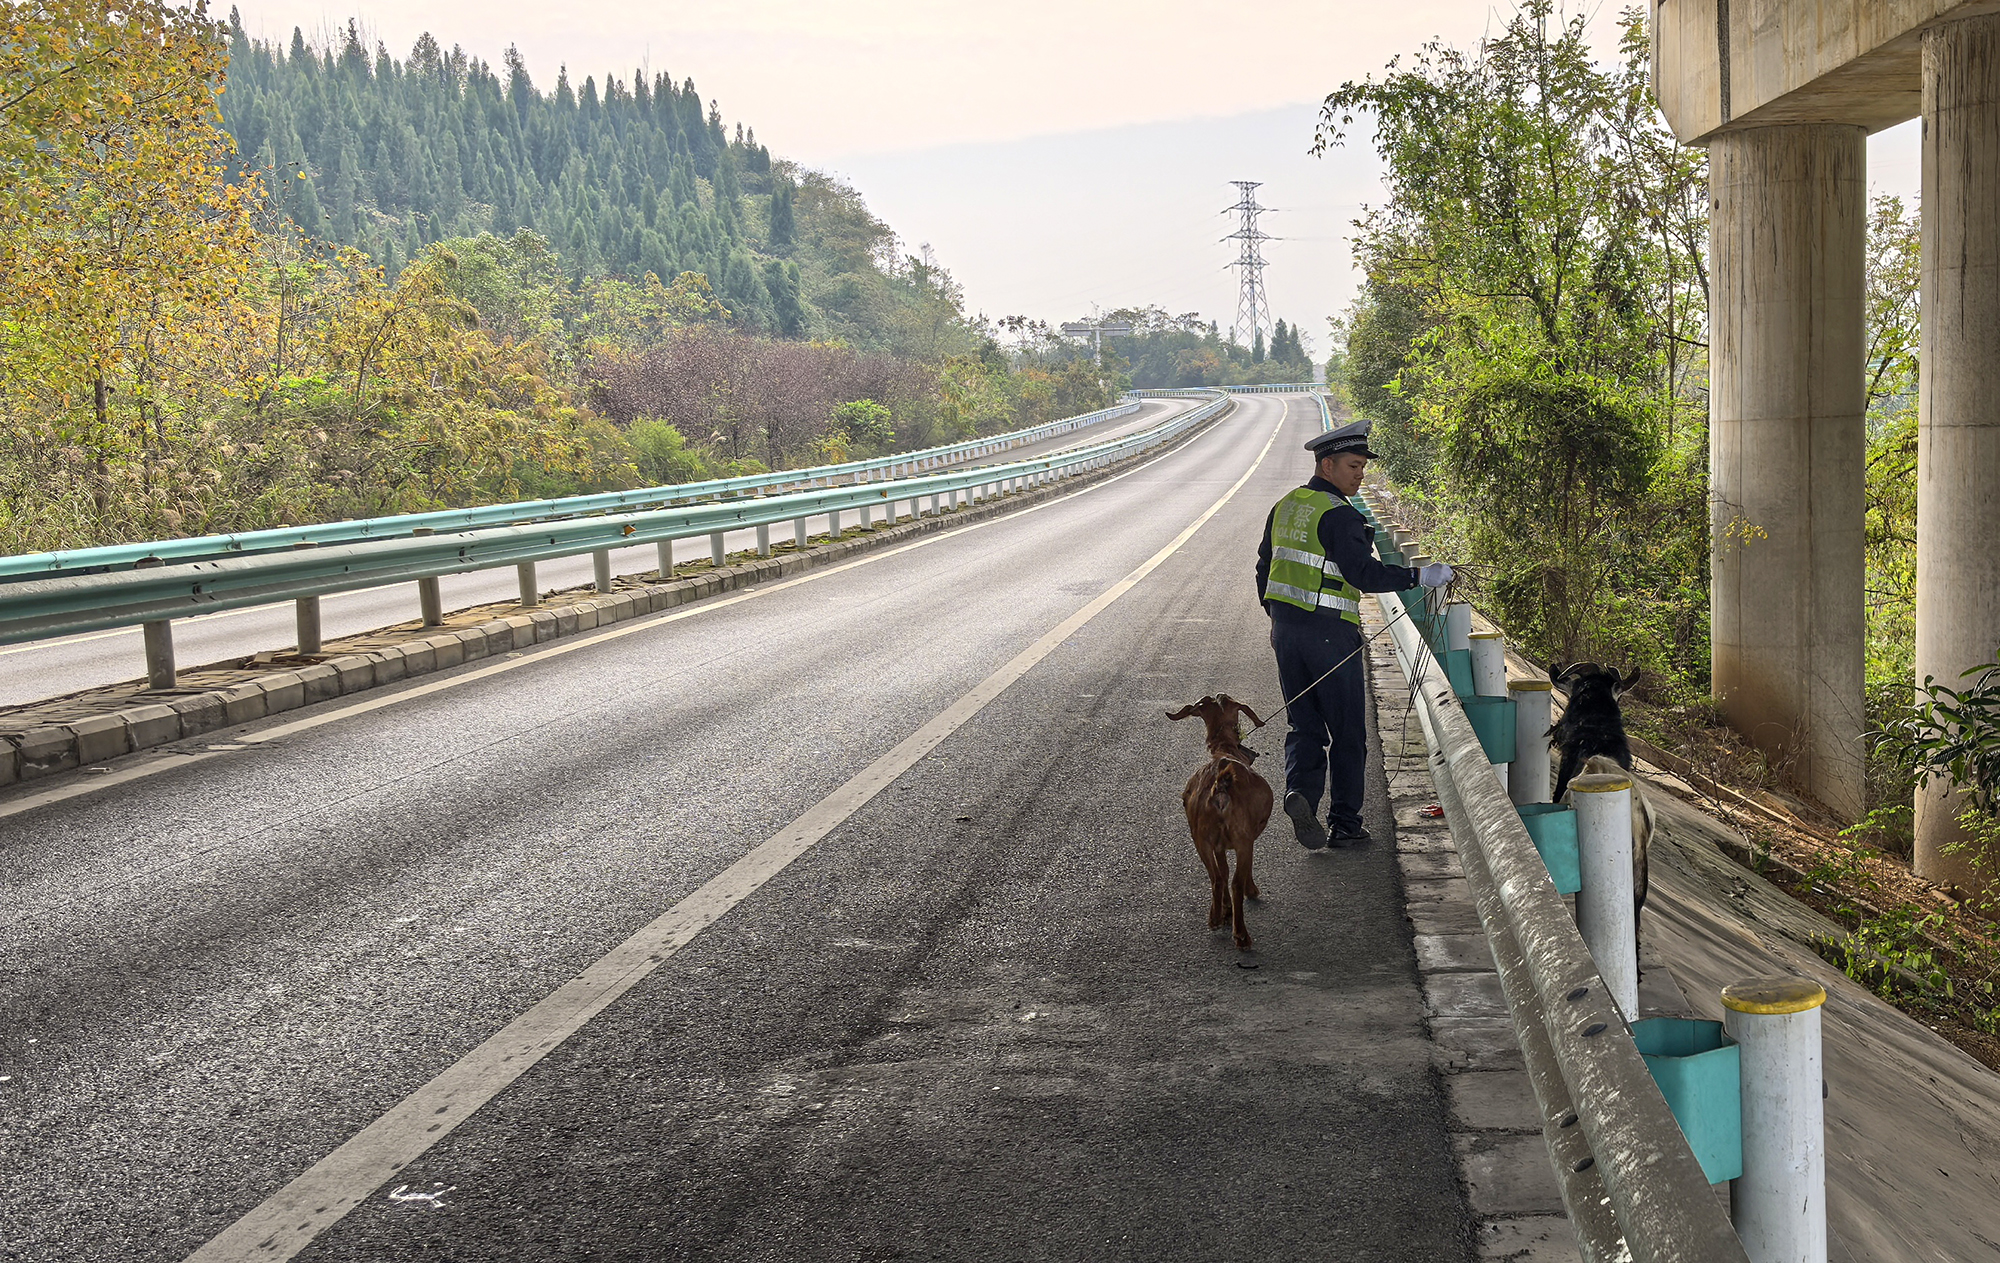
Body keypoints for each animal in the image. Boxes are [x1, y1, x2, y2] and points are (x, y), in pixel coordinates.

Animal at [1168, 695, 1272, 951]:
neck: (1226, 749)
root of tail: (1219, 787)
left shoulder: (1218, 845)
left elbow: (1222, 870)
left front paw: (1225, 911)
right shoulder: (1245, 840)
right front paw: (1250, 892)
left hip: (1200, 836)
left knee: (1216, 877)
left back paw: (1215, 918)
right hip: (1242, 837)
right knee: (1235, 882)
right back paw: (1241, 935)